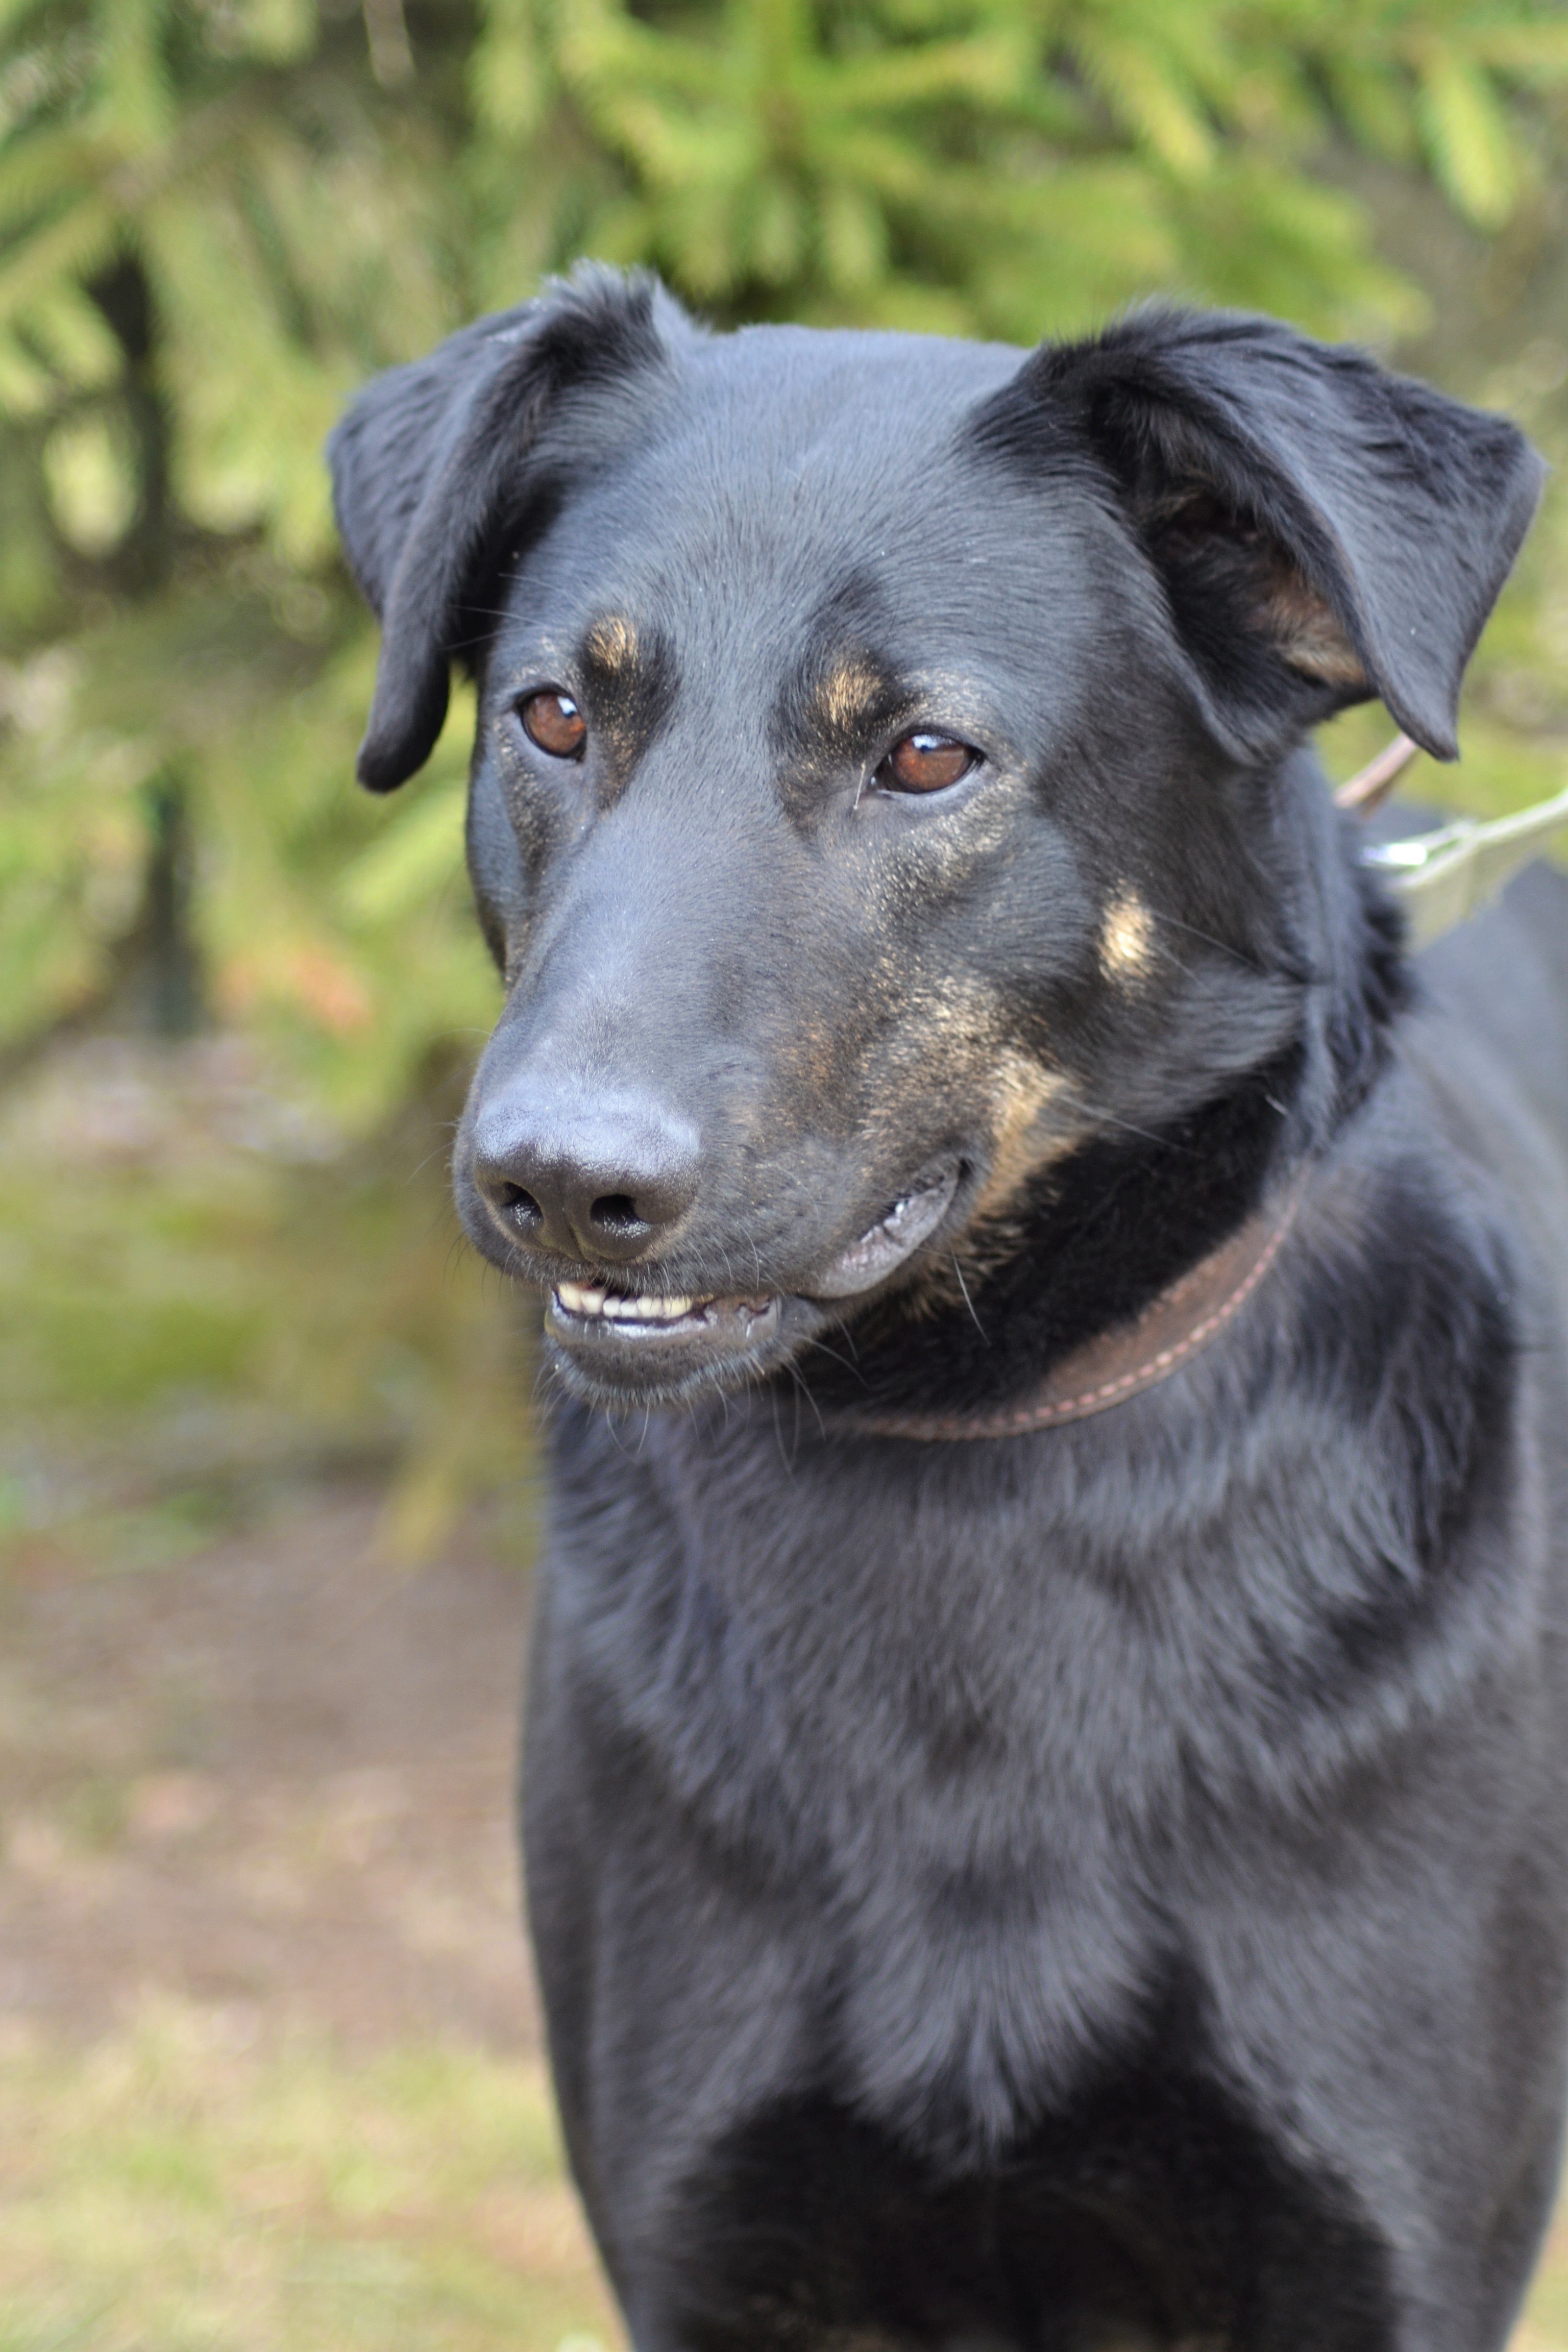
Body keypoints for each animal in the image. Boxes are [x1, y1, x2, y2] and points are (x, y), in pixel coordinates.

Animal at [329, 271, 1568, 2352]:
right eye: (556, 717)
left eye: (924, 756)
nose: (556, 1177)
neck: (968, 1438)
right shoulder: (717, 2249)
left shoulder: (1372, 2253)